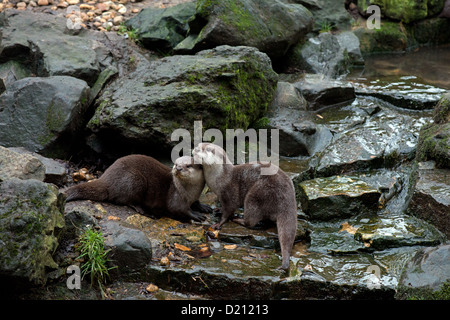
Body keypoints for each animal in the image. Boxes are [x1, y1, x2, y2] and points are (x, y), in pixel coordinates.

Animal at [64, 154, 211, 221]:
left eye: (188, 166)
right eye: (175, 164)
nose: (178, 168)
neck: (190, 192)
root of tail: (106, 178)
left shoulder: (195, 195)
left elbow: (196, 202)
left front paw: (203, 207)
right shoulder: (176, 197)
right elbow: (178, 209)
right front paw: (195, 214)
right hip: (135, 180)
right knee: (124, 200)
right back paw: (143, 210)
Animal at [192, 142, 298, 270]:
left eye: (208, 149)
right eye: (198, 145)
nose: (196, 149)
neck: (220, 179)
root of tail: (287, 196)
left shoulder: (229, 193)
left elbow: (229, 210)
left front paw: (219, 223)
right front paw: (218, 209)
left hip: (257, 194)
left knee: (251, 221)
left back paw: (239, 219)